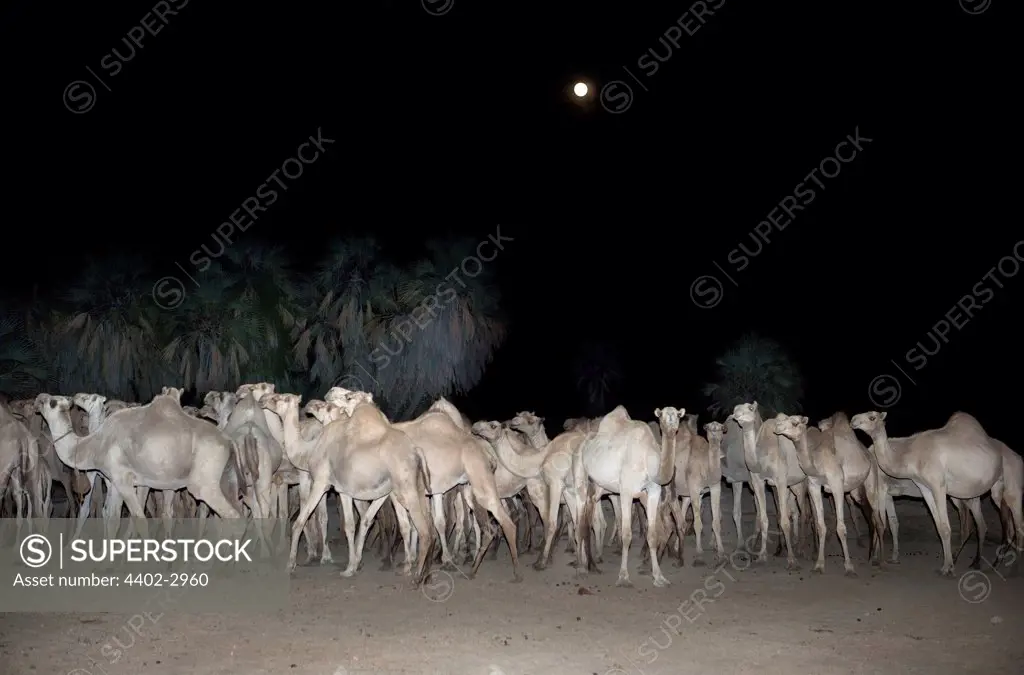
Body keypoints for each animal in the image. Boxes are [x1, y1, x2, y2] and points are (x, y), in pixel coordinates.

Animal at [34, 391, 243, 536]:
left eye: (51, 402)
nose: (39, 398)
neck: (97, 443)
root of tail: (229, 442)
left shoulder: (123, 479)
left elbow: (139, 520)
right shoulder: (115, 482)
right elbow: (112, 517)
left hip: (204, 484)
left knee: (232, 517)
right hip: (226, 479)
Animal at [260, 391, 432, 585]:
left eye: (277, 398)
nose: (262, 400)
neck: (309, 450)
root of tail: (416, 450)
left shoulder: (320, 482)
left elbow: (299, 522)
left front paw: (290, 565)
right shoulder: (343, 490)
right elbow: (350, 525)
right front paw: (351, 567)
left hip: (406, 488)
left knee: (423, 530)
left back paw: (417, 575)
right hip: (407, 488)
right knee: (411, 524)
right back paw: (411, 569)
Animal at [577, 407, 679, 585]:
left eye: (679, 415)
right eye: (662, 415)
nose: (672, 424)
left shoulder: (654, 492)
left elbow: (652, 534)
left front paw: (659, 576)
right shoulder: (626, 491)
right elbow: (626, 535)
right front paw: (623, 577)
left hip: (598, 486)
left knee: (589, 519)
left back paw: (592, 564)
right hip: (583, 477)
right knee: (583, 520)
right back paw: (584, 567)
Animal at [729, 403, 806, 569]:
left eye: (750, 408)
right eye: (735, 409)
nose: (736, 415)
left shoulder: (781, 481)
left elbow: (784, 521)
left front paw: (791, 560)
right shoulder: (759, 482)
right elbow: (764, 519)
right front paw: (762, 556)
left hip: (802, 483)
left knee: (805, 513)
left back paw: (801, 549)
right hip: (791, 486)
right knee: (795, 511)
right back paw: (794, 543)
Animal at [851, 411, 1019, 577]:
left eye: (872, 417)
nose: (853, 420)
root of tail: (1015, 455)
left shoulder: (886, 489)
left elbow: (880, 523)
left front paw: (878, 559)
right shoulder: (917, 489)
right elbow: (895, 523)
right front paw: (892, 557)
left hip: (1001, 487)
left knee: (1006, 523)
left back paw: (1003, 567)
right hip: (971, 494)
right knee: (981, 524)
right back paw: (976, 562)